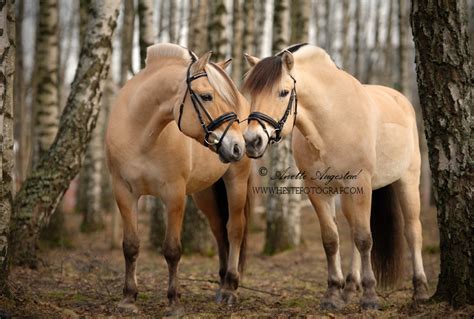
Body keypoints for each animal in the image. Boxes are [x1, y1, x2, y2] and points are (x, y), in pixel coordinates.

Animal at [104, 42, 252, 312]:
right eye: (207, 96)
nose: (238, 146)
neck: (141, 135)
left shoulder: (174, 195)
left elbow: (172, 250)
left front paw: (174, 301)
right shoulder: (124, 192)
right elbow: (130, 246)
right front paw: (129, 298)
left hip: (236, 180)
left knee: (235, 228)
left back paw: (230, 288)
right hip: (205, 193)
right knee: (219, 229)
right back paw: (221, 284)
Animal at [243, 44, 428, 310]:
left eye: (283, 92)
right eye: (251, 93)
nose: (252, 141)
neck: (331, 121)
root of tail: (400, 99)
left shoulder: (359, 185)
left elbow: (365, 238)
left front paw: (370, 297)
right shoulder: (318, 190)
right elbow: (332, 240)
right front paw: (332, 294)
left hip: (408, 180)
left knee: (412, 231)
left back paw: (420, 290)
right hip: (348, 197)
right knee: (352, 233)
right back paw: (349, 288)